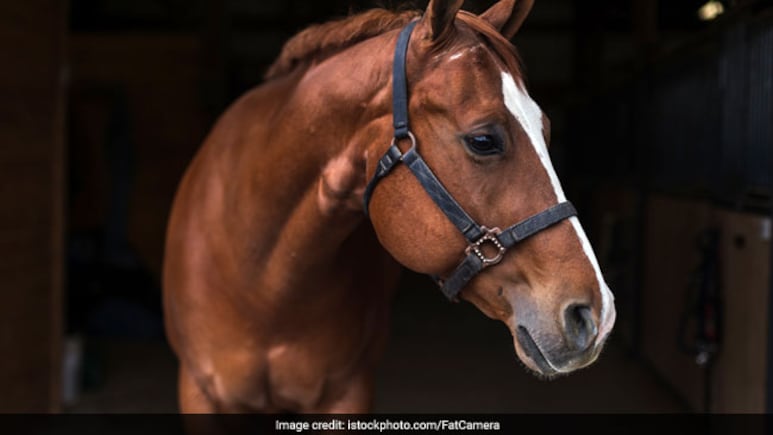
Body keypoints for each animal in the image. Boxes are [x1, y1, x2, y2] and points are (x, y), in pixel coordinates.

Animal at [163, 0, 616, 413]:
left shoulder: (347, 394)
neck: (264, 285)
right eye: (483, 140)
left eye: (546, 129)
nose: (596, 315)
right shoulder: (200, 395)